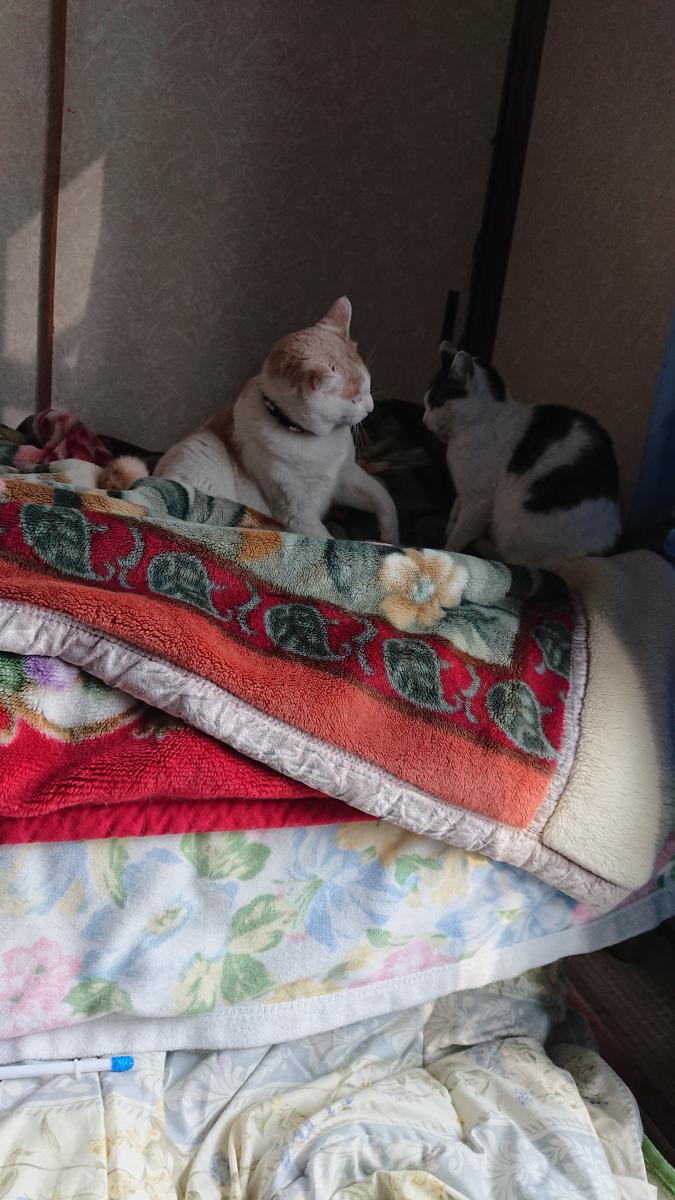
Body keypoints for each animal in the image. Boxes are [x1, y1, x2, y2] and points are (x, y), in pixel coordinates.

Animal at [100, 298, 399, 543]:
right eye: (355, 399)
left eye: (368, 385)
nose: (370, 408)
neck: (316, 443)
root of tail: (152, 476)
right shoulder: (298, 513)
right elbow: (330, 539)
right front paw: (375, 546)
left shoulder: (347, 478)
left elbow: (384, 498)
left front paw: (391, 537)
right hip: (201, 450)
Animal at [423, 342, 621, 570]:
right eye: (427, 403)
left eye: (436, 403)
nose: (424, 420)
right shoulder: (466, 489)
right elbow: (457, 505)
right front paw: (450, 523)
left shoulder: (478, 501)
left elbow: (458, 537)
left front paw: (447, 549)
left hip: (514, 520)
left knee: (516, 561)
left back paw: (484, 545)